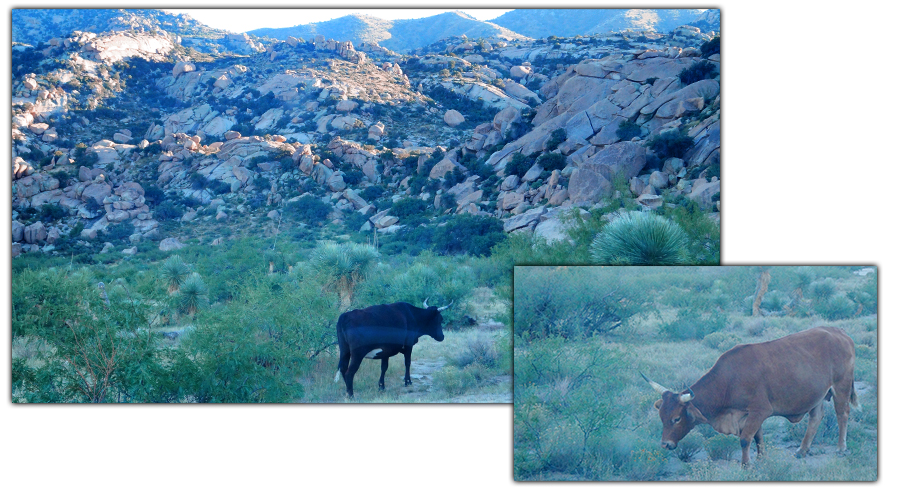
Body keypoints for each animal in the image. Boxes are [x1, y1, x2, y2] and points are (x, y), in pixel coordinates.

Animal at [644, 328, 860, 464]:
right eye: (661, 417)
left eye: (676, 418)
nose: (665, 444)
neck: (729, 379)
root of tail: (839, 332)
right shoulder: (751, 416)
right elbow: (758, 437)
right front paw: (761, 459)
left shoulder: (759, 411)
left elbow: (746, 439)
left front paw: (746, 464)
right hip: (816, 395)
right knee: (815, 419)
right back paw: (801, 451)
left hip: (841, 387)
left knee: (842, 415)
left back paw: (841, 448)